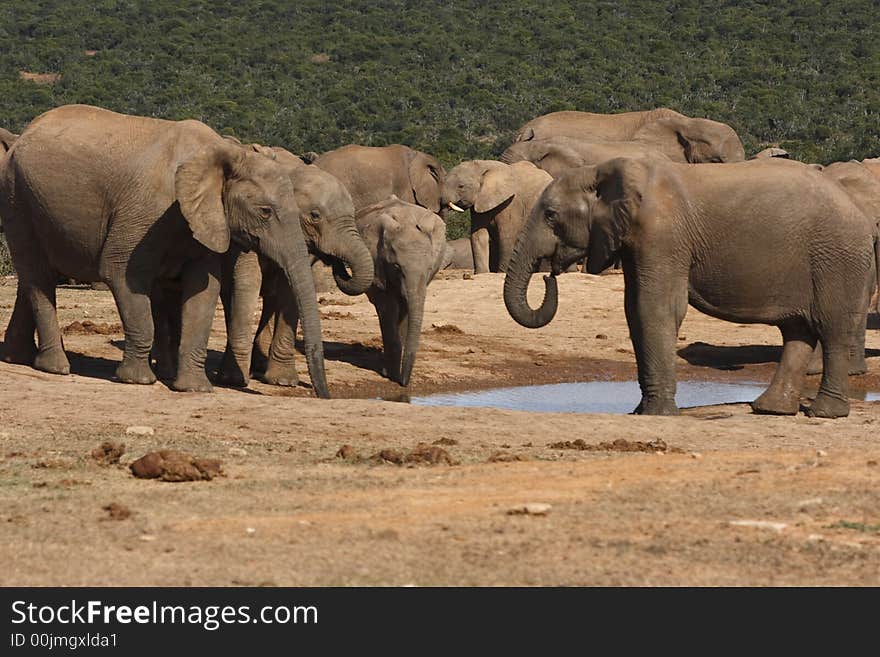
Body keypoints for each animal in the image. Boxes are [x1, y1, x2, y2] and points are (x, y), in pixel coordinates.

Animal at [0, 105, 328, 398]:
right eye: (265, 211)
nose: (321, 394)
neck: (219, 153)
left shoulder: (204, 219)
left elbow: (204, 288)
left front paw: (194, 389)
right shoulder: (147, 211)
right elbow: (122, 272)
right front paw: (137, 380)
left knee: (34, 277)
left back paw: (21, 359)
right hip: (17, 198)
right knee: (38, 275)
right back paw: (55, 367)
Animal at [356, 197, 444, 386]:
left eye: (429, 268)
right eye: (396, 267)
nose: (404, 383)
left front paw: (392, 374)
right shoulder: (377, 264)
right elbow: (387, 306)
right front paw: (391, 375)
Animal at [506, 156, 876, 418]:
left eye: (551, 215)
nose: (549, 276)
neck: (601, 170)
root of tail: (856, 210)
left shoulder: (662, 235)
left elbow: (655, 307)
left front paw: (657, 415)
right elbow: (634, 309)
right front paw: (641, 412)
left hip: (835, 257)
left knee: (831, 328)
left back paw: (824, 413)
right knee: (797, 331)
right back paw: (770, 409)